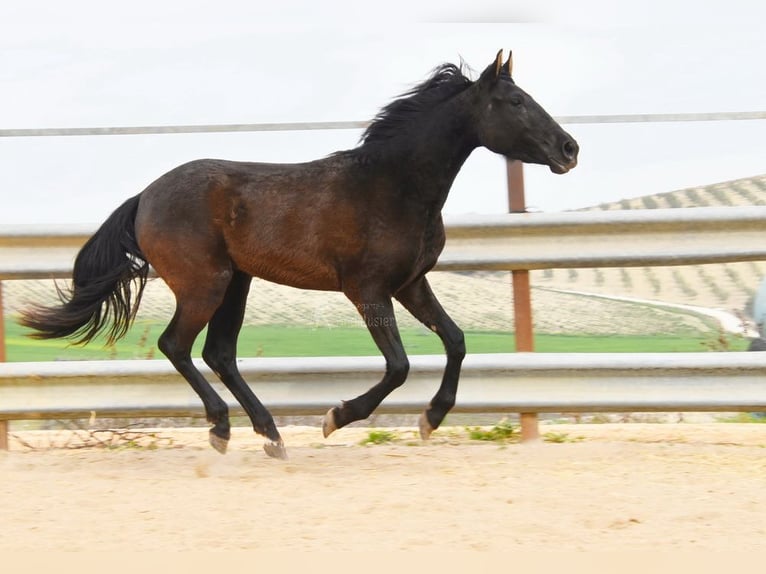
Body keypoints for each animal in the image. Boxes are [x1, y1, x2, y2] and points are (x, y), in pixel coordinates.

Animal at [21, 51, 580, 462]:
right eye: (515, 101)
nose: (570, 150)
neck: (392, 186)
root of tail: (145, 197)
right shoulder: (367, 290)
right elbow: (398, 366)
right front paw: (336, 417)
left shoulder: (411, 284)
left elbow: (457, 341)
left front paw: (431, 419)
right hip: (205, 284)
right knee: (176, 345)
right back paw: (222, 430)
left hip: (237, 283)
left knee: (218, 353)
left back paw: (271, 435)